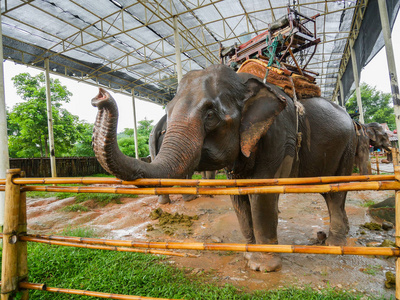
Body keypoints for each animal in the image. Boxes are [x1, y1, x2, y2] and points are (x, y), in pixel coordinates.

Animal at [92, 64, 358, 274]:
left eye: (210, 115)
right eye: (168, 110)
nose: (99, 96)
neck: (243, 82)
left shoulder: (281, 136)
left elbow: (261, 193)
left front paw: (264, 267)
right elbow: (238, 194)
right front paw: (249, 256)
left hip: (348, 145)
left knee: (336, 192)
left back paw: (334, 244)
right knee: (328, 191)